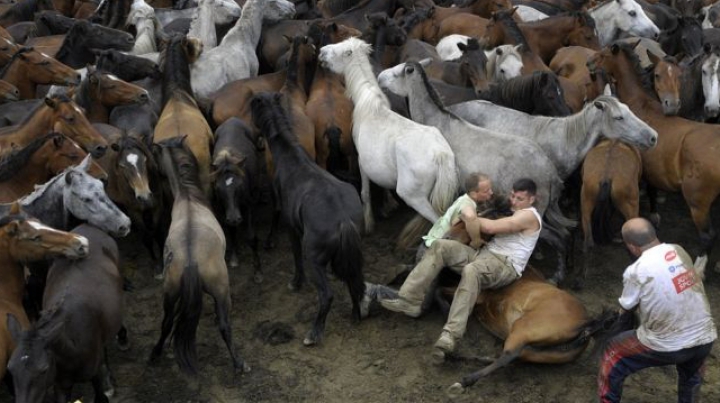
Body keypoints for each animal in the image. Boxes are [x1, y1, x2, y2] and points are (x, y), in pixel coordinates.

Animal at [252, 91, 366, 348]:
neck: (290, 157)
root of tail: (343, 220)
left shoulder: (291, 226)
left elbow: (295, 255)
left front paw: (296, 282)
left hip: (315, 259)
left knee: (326, 295)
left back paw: (313, 333)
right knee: (354, 279)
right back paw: (355, 314)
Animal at [318, 38, 458, 234]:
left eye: (341, 50)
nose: (321, 51)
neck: (369, 105)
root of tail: (441, 155)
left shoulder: (361, 161)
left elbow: (365, 194)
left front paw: (369, 223)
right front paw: (389, 205)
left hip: (414, 198)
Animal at [588, 41, 720, 268]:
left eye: (603, 53)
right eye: (657, 75)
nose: (589, 62)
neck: (640, 103)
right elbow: (651, 188)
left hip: (698, 203)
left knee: (708, 236)